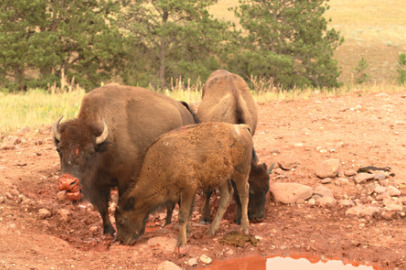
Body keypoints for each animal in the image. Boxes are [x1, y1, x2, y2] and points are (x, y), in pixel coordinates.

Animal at [53, 84, 196, 236]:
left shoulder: (125, 180)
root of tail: (186, 112)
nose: (67, 182)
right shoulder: (99, 185)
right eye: (59, 149)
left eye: (90, 151)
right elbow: (102, 207)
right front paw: (108, 231)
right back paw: (167, 223)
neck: (105, 145)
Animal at [114, 121, 252, 248]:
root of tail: (241, 127)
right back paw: (211, 231)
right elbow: (186, 213)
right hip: (222, 177)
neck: (161, 164)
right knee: (227, 195)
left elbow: (182, 215)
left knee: (244, 193)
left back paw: (245, 228)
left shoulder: (188, 188)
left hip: (241, 170)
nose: (122, 241)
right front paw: (188, 233)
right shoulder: (180, 193)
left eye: (121, 221)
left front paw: (181, 242)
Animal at [197, 69, 272, 224]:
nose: (258, 217)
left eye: (267, 189)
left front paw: (238, 217)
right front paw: (204, 217)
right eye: (251, 191)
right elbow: (208, 189)